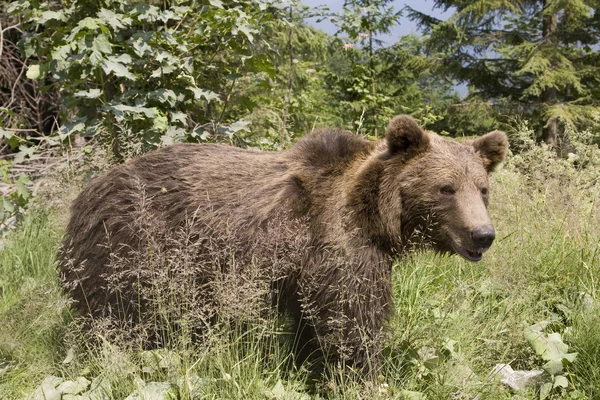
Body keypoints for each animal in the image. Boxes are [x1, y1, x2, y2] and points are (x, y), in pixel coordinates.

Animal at [57, 114, 506, 374]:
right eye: (446, 188)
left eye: (482, 188)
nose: (483, 235)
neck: (374, 215)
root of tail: (85, 195)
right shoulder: (336, 244)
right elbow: (353, 319)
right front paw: (361, 372)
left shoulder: (311, 265)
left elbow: (315, 320)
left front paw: (308, 363)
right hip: (131, 248)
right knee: (116, 318)